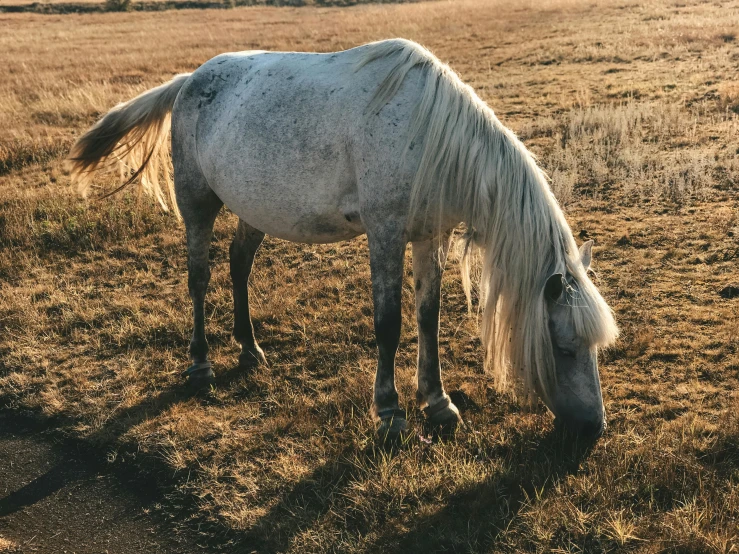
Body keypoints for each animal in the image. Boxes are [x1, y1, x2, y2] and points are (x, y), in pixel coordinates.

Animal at [71, 38, 620, 438]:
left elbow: (428, 318)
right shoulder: (385, 234)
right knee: (199, 278)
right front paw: (390, 411)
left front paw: (438, 403)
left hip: (253, 209)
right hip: (198, 205)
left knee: (238, 264)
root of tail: (190, 80)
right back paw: (201, 363)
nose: (594, 427)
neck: (429, 135)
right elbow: (389, 324)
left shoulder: (430, 236)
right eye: (564, 347)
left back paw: (250, 348)